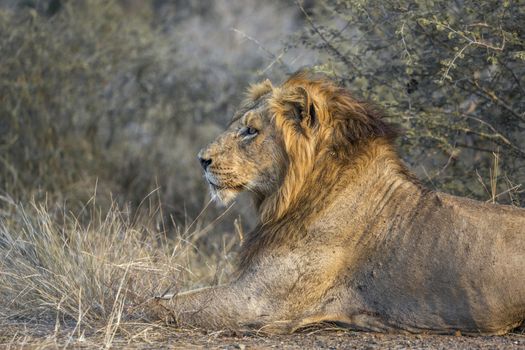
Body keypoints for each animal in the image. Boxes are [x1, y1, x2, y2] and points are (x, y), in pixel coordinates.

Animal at [155, 72, 524, 336]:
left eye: (250, 131)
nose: (201, 160)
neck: (295, 195)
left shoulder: (258, 302)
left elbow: (159, 304)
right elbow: (168, 296)